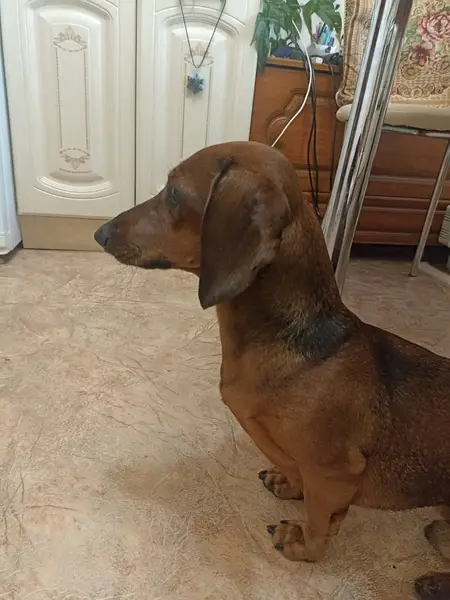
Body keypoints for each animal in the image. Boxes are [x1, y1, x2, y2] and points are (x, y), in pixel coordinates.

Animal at [95, 141, 450, 599]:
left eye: (174, 193)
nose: (100, 232)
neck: (300, 351)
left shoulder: (336, 474)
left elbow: (319, 522)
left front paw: (301, 545)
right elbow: (300, 481)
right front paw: (288, 484)